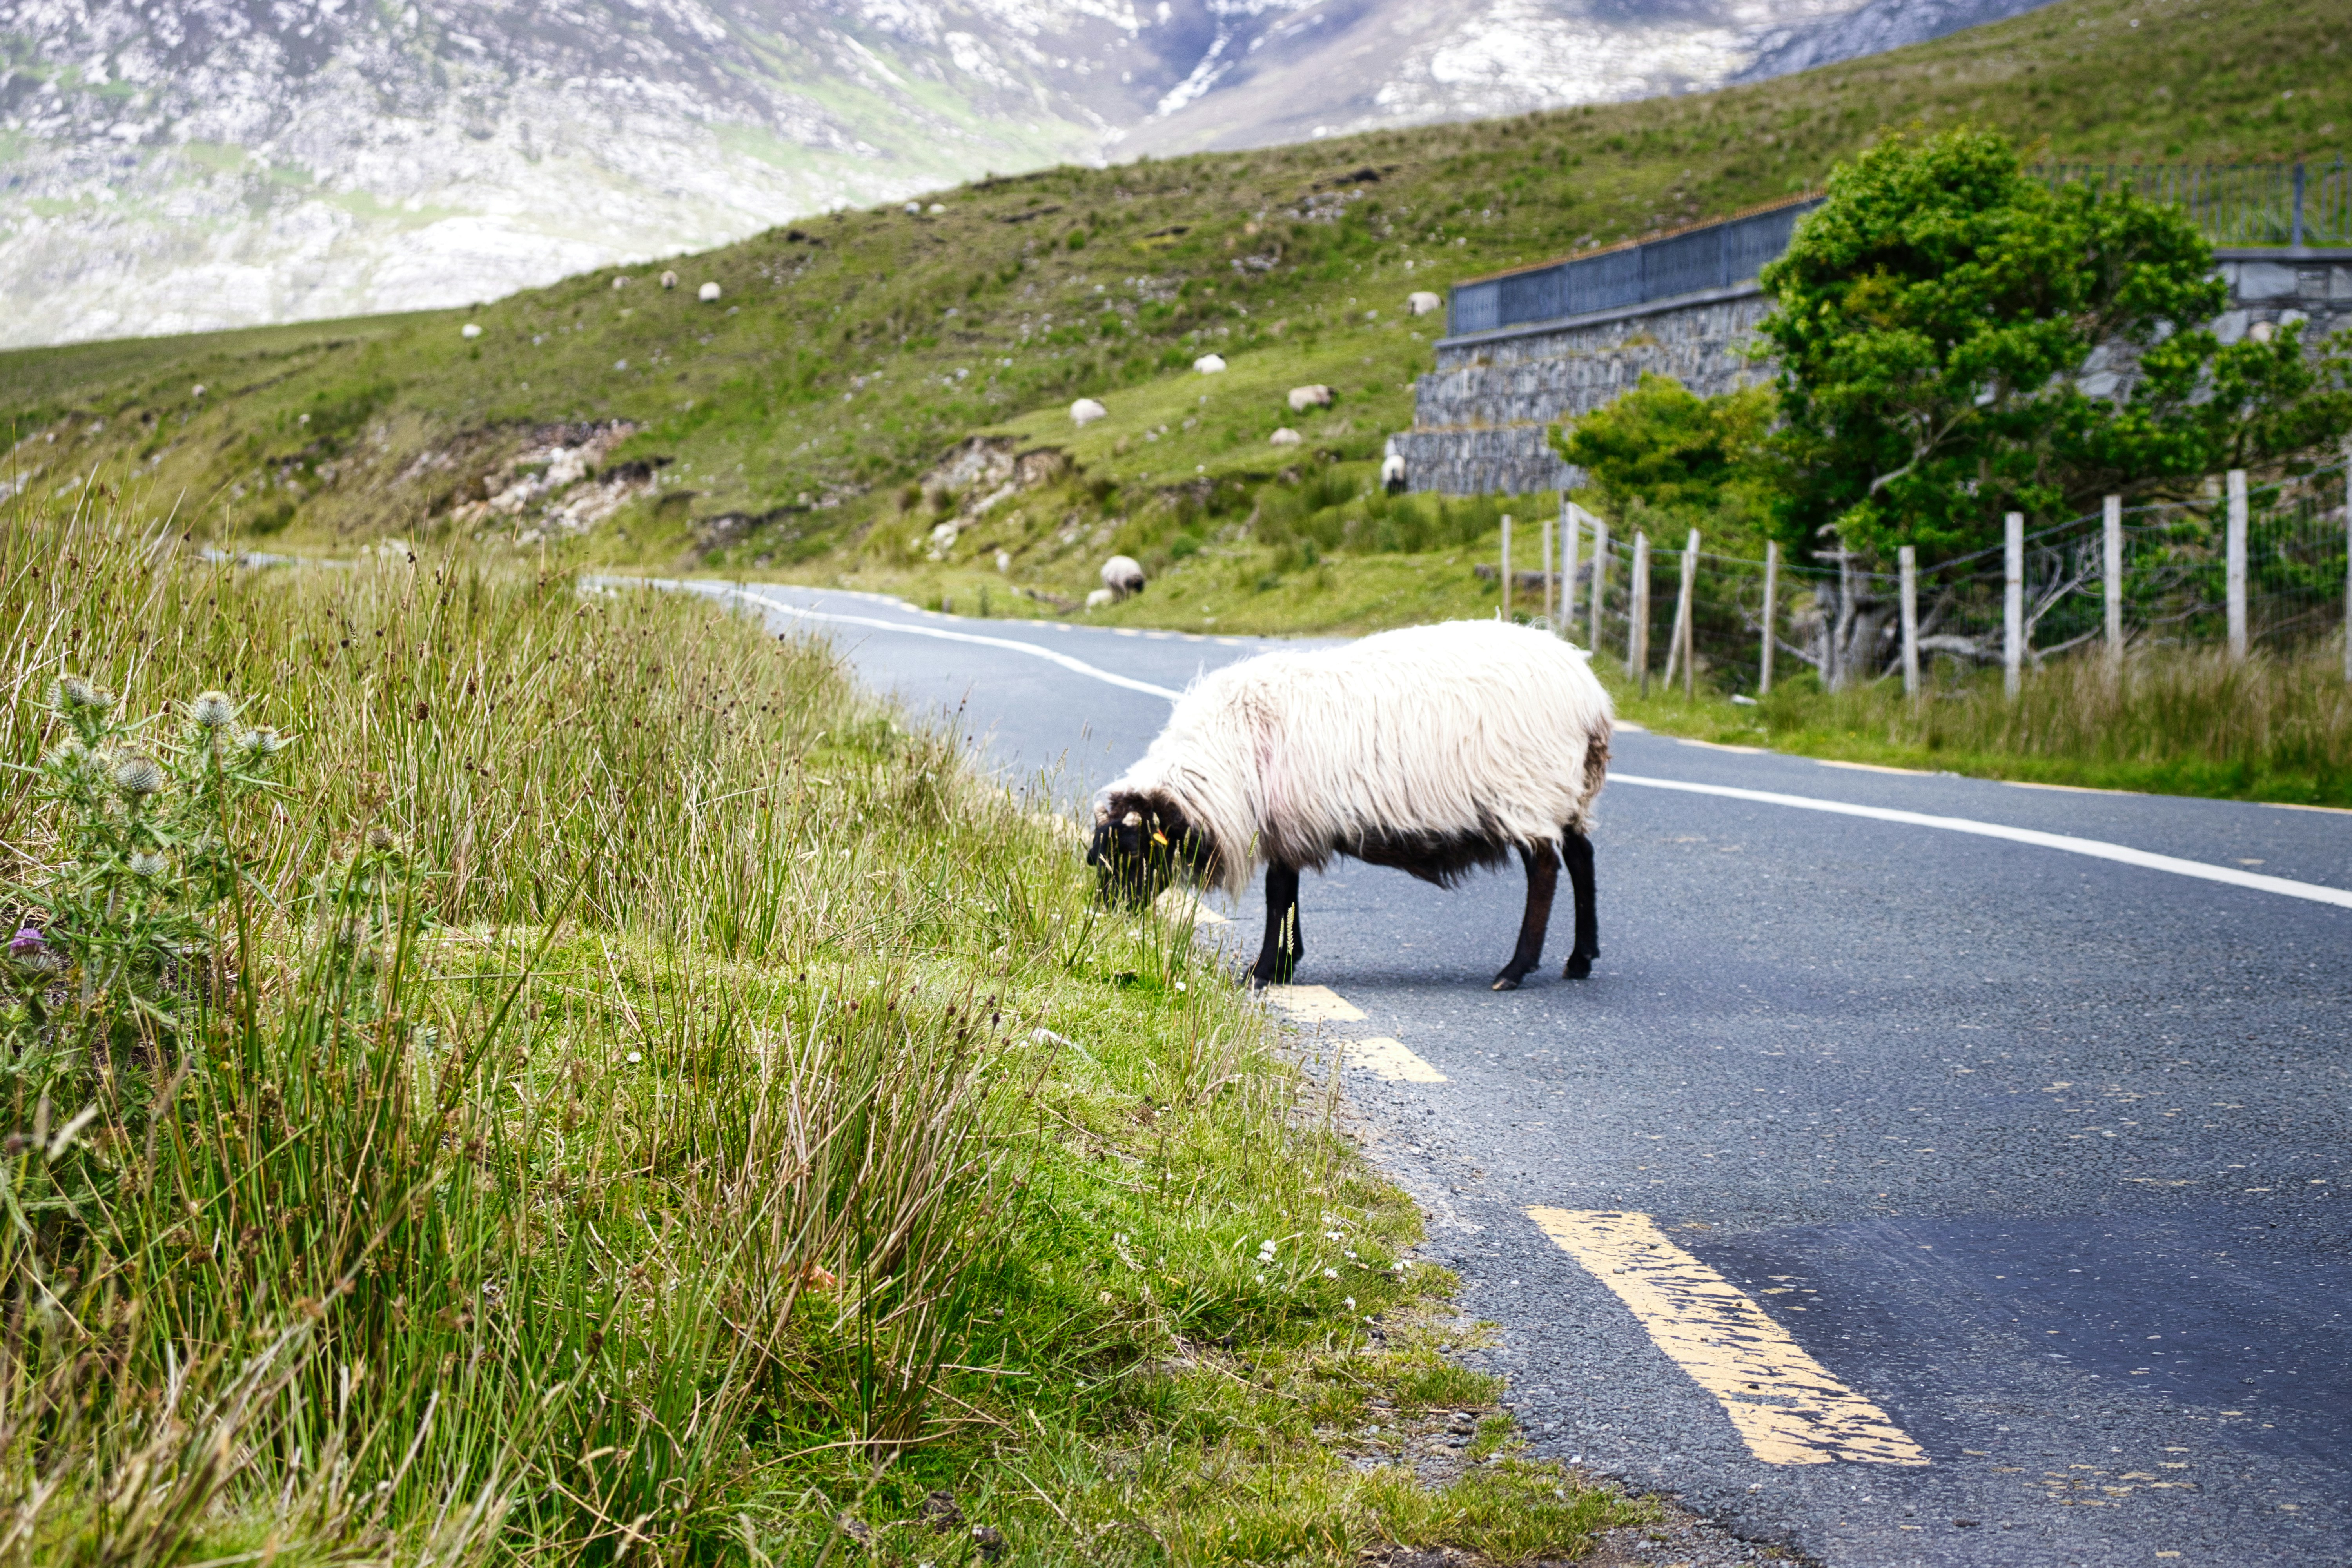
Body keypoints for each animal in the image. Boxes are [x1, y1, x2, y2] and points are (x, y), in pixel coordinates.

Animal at [1087, 620, 1610, 991]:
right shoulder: (1290, 824)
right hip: (1569, 790)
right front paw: (1285, 962)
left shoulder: (1287, 822)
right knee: (1582, 857)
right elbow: (1288, 895)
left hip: (1529, 787)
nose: (1104, 915)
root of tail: (1590, 694)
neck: (1223, 757)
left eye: (1129, 850)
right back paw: (1580, 959)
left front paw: (1263, 971)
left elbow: (1278, 894)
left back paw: (1516, 969)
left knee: (1545, 869)